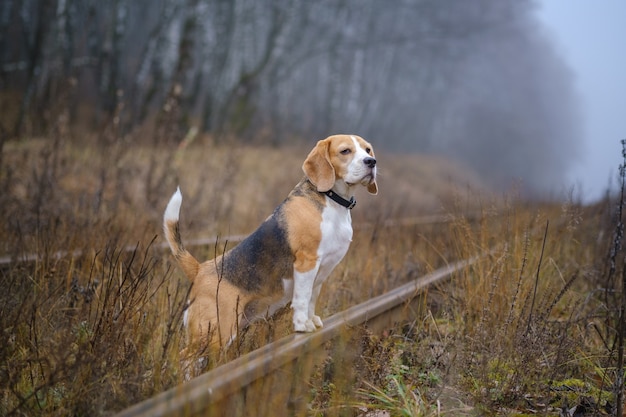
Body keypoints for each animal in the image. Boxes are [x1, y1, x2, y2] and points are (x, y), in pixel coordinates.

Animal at [162, 135, 376, 362]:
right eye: (345, 151)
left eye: (367, 150)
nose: (371, 162)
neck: (330, 199)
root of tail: (200, 269)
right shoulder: (306, 262)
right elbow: (302, 299)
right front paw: (302, 325)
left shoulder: (320, 272)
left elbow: (311, 298)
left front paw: (312, 321)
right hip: (214, 333)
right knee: (183, 359)